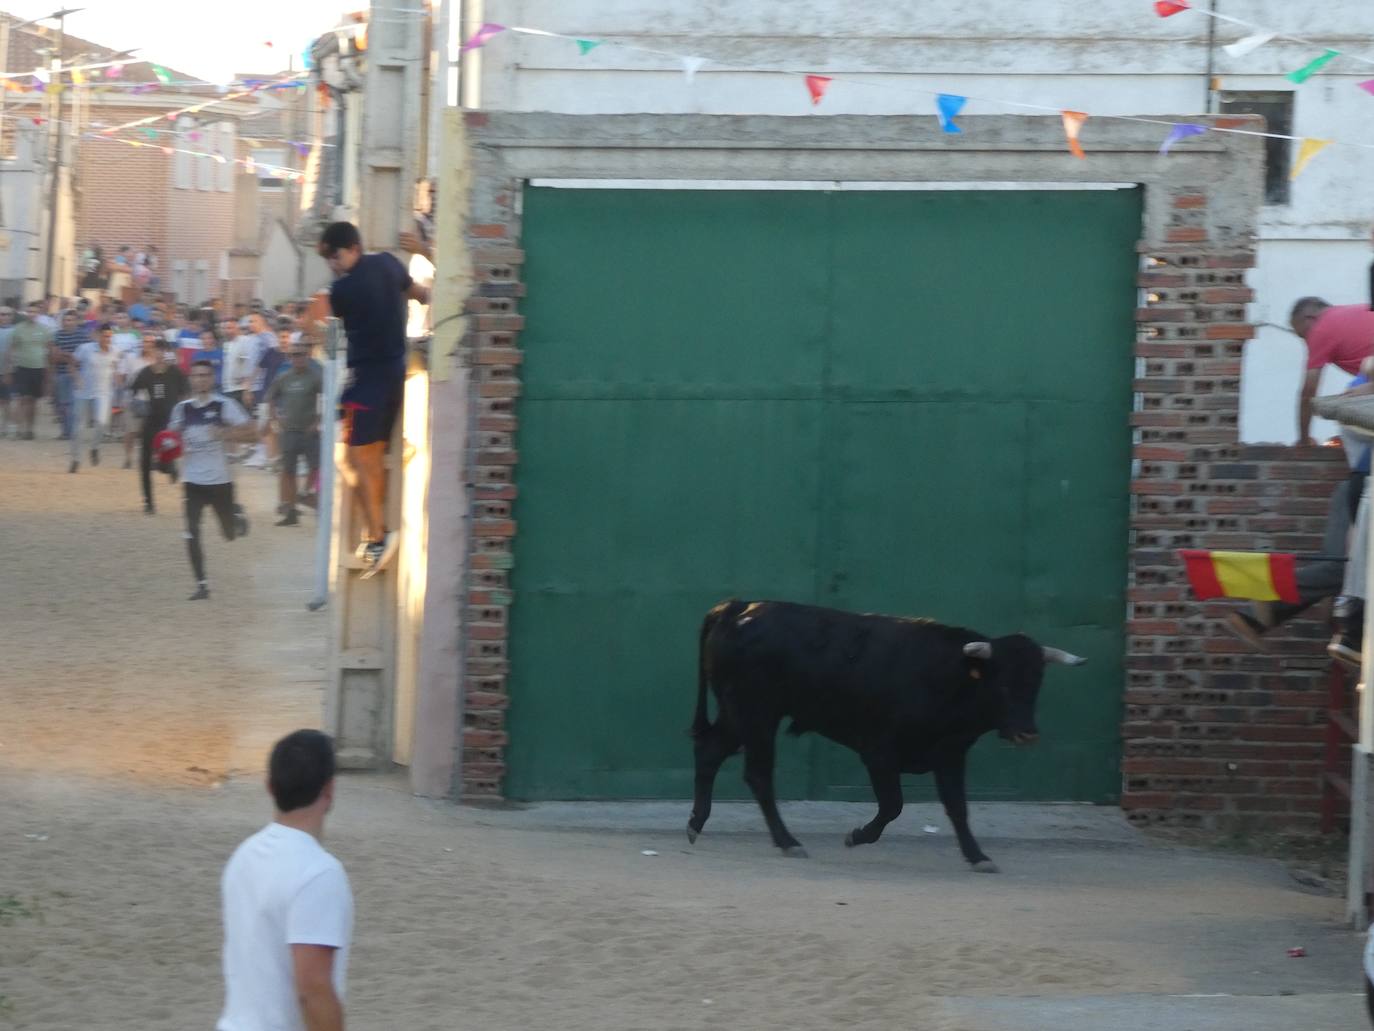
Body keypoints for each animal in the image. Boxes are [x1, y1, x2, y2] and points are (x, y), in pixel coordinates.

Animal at [687, 596, 1082, 874]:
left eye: (1036, 684)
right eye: (1001, 683)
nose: (1027, 733)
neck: (946, 677)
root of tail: (737, 607)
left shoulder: (950, 753)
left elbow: (958, 808)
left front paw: (977, 856)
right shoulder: (878, 750)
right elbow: (893, 804)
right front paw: (857, 836)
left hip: (738, 715)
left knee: (710, 751)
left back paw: (696, 824)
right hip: (756, 715)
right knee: (758, 774)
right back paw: (787, 842)